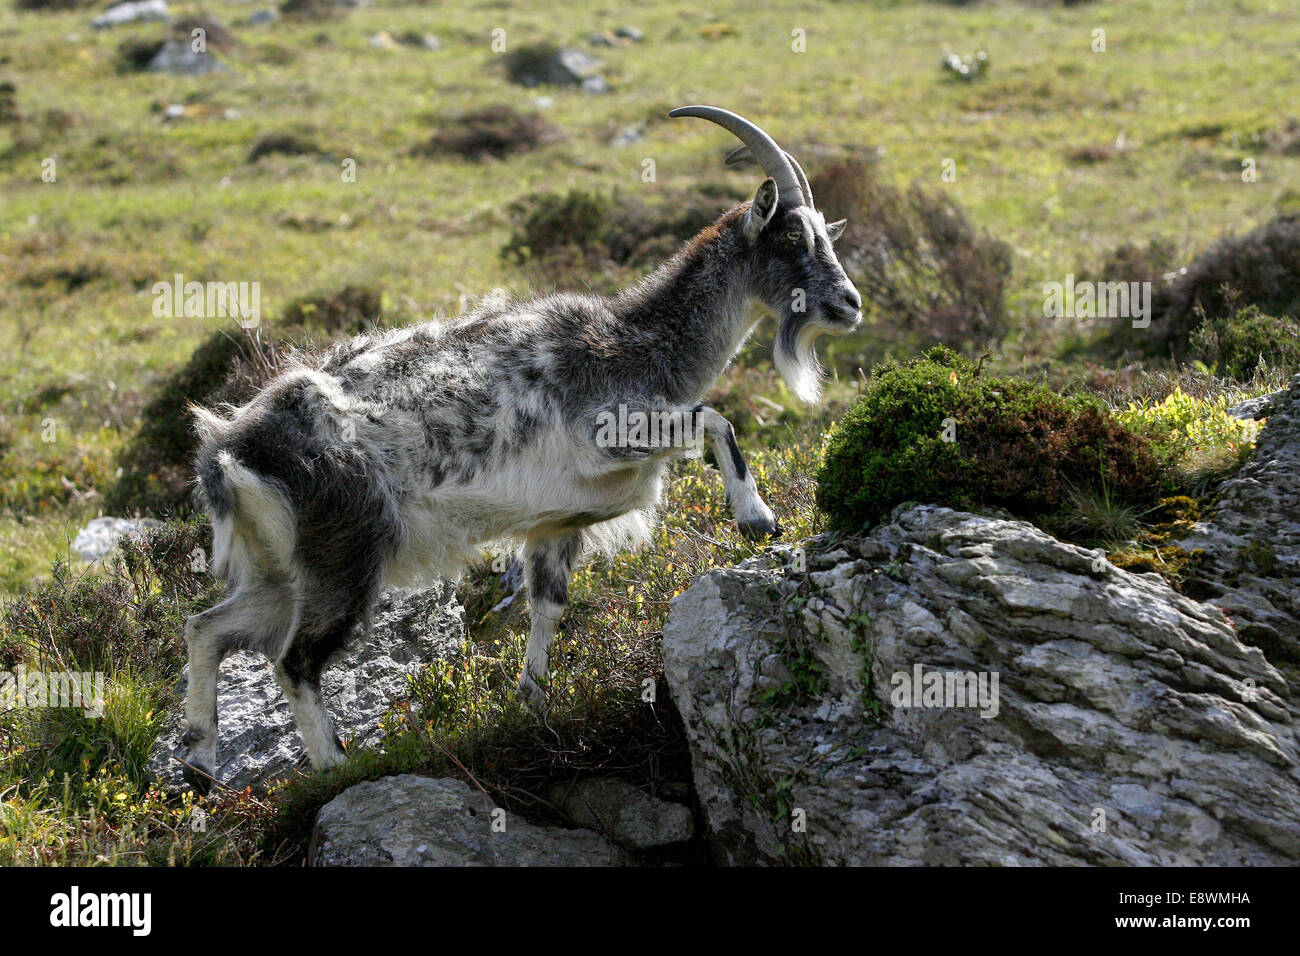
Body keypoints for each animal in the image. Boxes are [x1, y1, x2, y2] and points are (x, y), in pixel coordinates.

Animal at [178, 106, 857, 790]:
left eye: (826, 237)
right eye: (791, 240)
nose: (850, 304)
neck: (637, 340)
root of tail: (228, 455)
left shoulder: (560, 521)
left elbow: (548, 606)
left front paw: (533, 702)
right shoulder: (607, 434)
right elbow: (718, 420)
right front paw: (757, 519)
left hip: (278, 569)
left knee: (207, 627)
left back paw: (200, 761)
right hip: (342, 556)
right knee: (293, 660)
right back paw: (334, 764)